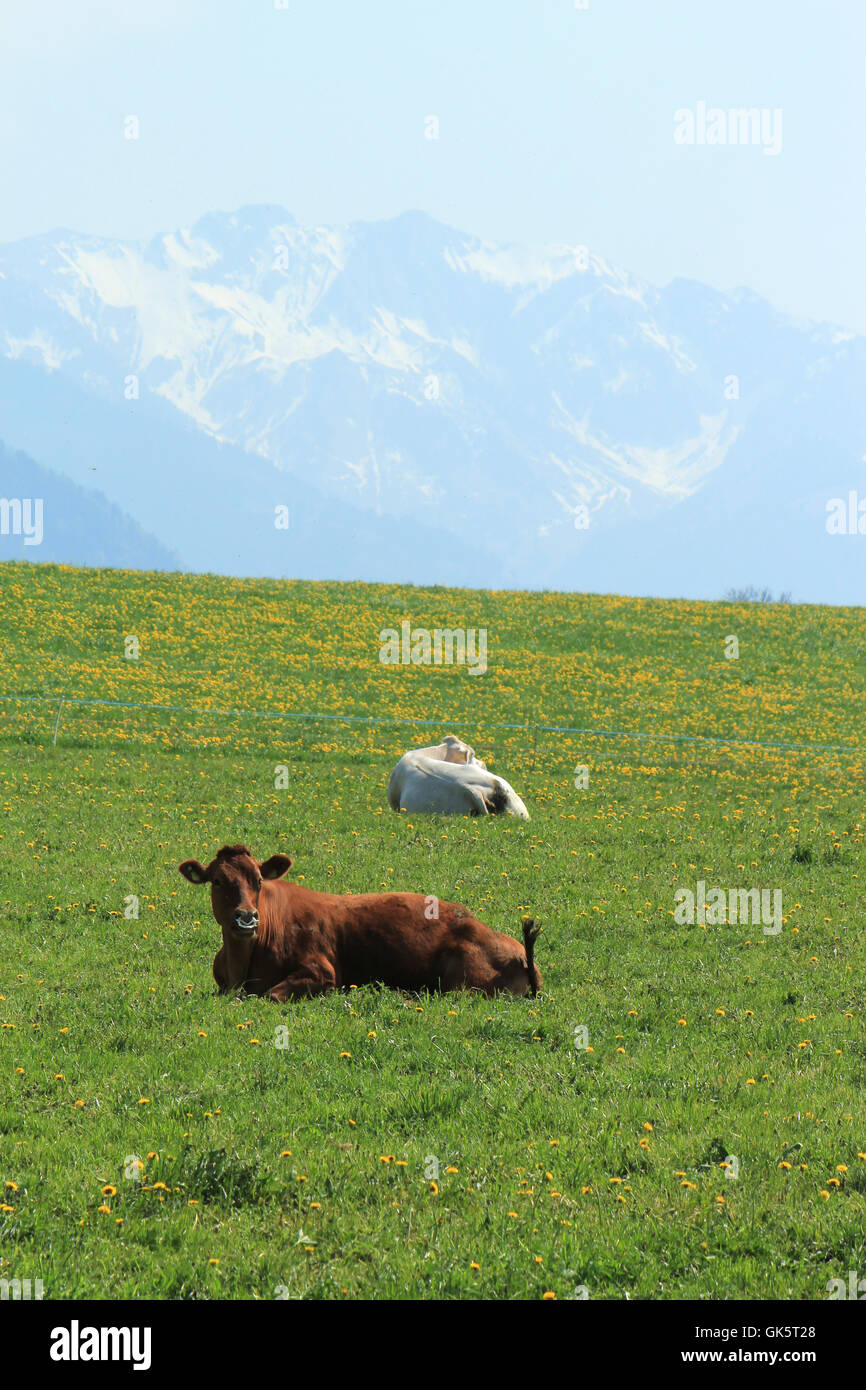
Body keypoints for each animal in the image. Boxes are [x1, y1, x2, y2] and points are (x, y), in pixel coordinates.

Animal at [178, 844, 541, 1000]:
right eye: (217, 881)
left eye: (258, 881)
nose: (246, 917)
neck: (242, 964)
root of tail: (519, 952)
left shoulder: (323, 972)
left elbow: (269, 995)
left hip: (461, 983)